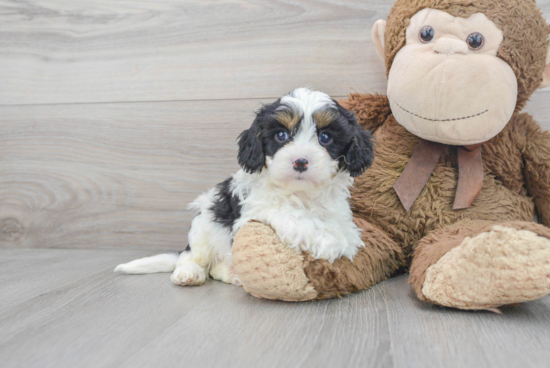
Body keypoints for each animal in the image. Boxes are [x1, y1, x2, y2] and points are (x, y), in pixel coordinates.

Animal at [116, 88, 376, 288]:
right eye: (281, 135)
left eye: (325, 138)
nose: (300, 161)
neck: (301, 192)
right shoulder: (255, 210)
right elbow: (291, 215)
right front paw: (326, 240)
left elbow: (342, 225)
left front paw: (346, 238)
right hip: (204, 225)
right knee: (193, 258)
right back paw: (189, 273)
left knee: (216, 267)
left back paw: (232, 274)